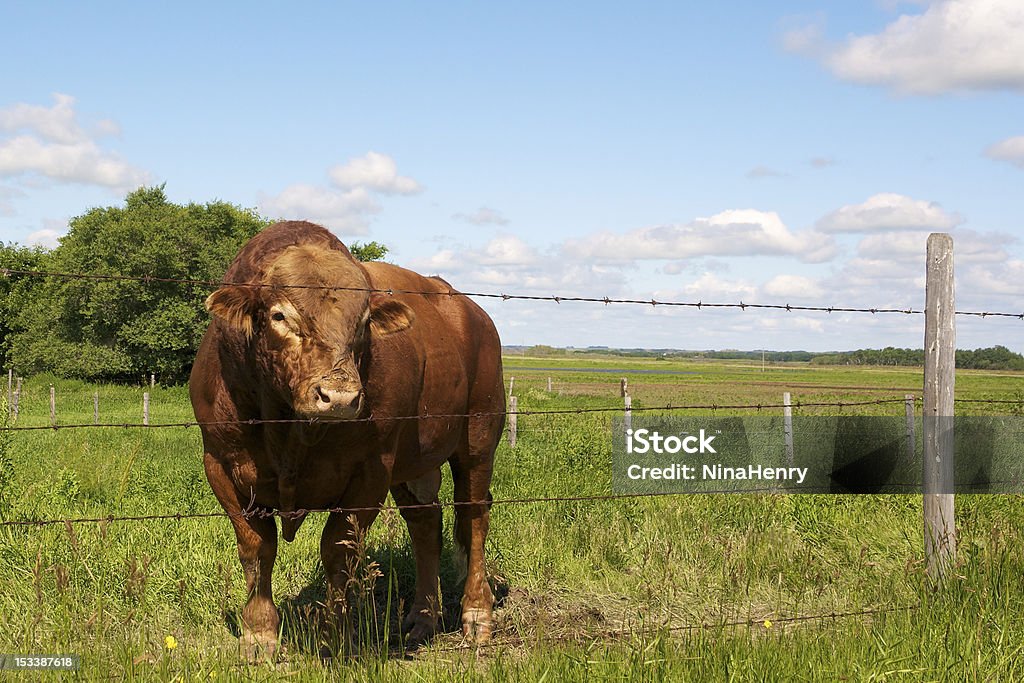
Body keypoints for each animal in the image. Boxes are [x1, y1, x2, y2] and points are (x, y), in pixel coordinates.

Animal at [190, 220, 505, 655]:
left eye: (363, 321)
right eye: (279, 315)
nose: (339, 396)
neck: (288, 432)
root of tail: (471, 312)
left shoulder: (371, 470)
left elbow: (339, 550)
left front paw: (336, 636)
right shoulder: (221, 465)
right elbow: (256, 547)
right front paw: (259, 634)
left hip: (478, 437)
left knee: (473, 517)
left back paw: (476, 614)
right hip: (415, 461)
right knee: (425, 522)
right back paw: (423, 619)